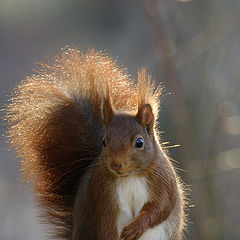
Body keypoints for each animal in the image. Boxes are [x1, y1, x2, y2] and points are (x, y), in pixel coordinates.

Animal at [5, 47, 186, 239]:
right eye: (104, 141)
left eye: (139, 142)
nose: (116, 164)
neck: (130, 177)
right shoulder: (101, 193)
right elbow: (106, 223)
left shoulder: (163, 181)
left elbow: (161, 207)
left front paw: (136, 227)